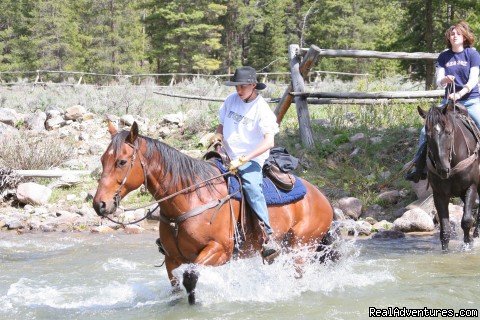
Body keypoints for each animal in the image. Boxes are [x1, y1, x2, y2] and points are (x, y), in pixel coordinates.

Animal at [93, 121, 334, 304]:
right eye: (103, 160)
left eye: (122, 161)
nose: (99, 204)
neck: (191, 198)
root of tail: (323, 198)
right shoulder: (172, 259)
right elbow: (176, 287)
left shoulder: (219, 251)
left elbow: (190, 278)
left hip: (302, 248)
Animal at [420, 101, 480, 251]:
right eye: (428, 135)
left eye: (448, 132)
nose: (442, 169)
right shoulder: (439, 194)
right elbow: (445, 228)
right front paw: (445, 250)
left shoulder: (471, 187)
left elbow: (466, 220)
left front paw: (468, 244)